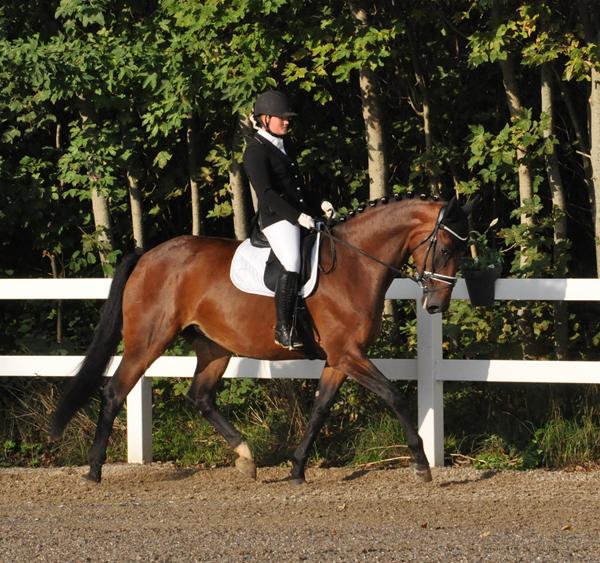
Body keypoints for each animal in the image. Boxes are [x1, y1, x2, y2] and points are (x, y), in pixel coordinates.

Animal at [50, 195, 474, 484]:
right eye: (446, 248)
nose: (436, 305)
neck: (356, 265)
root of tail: (147, 255)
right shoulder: (349, 354)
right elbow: (394, 395)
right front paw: (421, 464)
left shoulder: (339, 359)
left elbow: (320, 409)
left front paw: (298, 468)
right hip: (148, 340)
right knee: (115, 391)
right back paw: (94, 469)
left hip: (214, 347)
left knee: (200, 397)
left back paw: (246, 457)